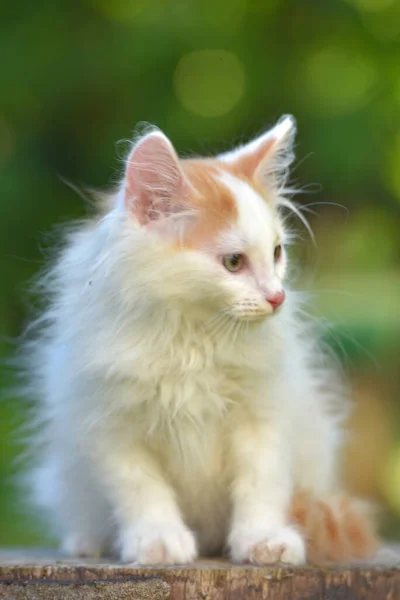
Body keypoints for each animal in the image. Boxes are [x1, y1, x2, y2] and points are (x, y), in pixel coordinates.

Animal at [21, 116, 378, 564]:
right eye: (233, 262)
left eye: (277, 253)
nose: (277, 297)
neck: (194, 336)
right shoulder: (110, 426)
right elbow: (142, 490)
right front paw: (158, 542)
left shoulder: (263, 416)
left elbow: (261, 485)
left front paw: (263, 540)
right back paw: (87, 543)